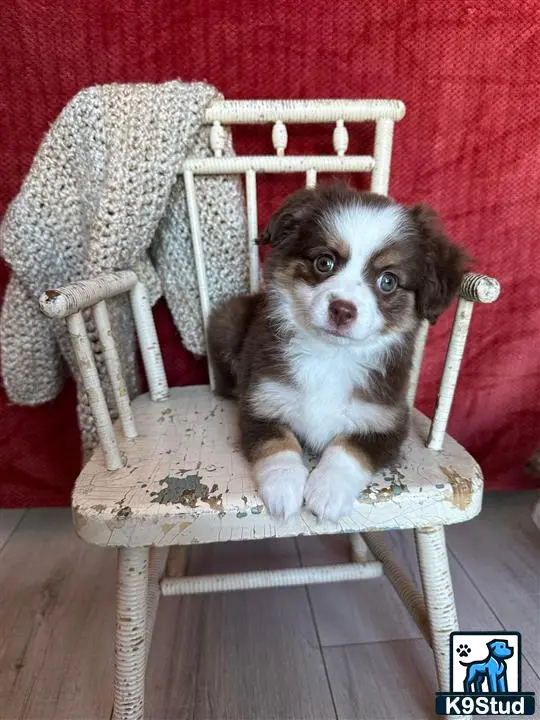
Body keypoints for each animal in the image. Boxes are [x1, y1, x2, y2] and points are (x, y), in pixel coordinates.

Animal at [208, 183, 468, 524]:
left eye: (388, 281)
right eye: (324, 263)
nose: (342, 310)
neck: (331, 356)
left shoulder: (386, 421)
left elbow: (349, 450)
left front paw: (328, 491)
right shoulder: (262, 402)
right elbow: (277, 444)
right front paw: (284, 488)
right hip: (227, 320)